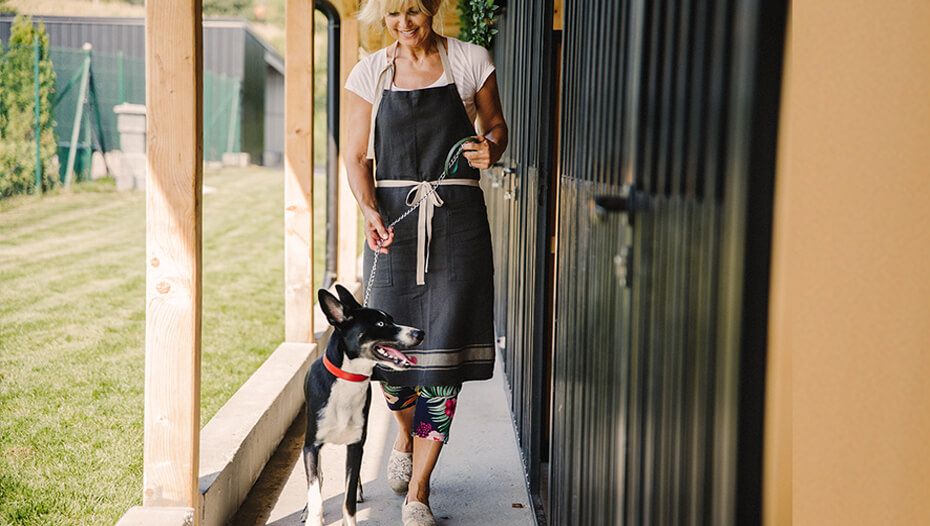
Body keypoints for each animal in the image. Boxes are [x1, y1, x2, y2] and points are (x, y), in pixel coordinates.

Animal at [302, 286, 422, 526]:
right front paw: (313, 516)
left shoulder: (356, 445)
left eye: (391, 319)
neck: (347, 380)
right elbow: (315, 489)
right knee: (317, 475)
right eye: (381, 324)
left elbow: (347, 498)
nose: (419, 333)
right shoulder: (311, 445)